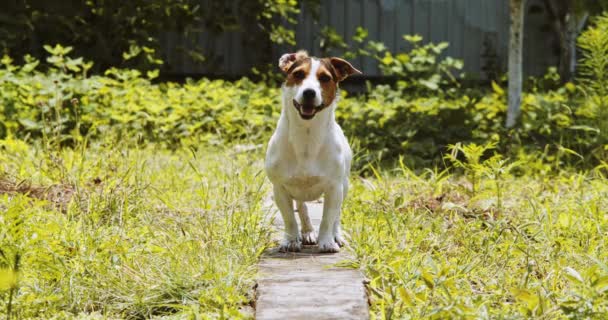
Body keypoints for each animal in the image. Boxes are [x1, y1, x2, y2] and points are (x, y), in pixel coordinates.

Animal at [262, 50, 358, 252]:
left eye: (325, 78)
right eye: (298, 74)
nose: (309, 92)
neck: (307, 135)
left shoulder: (334, 188)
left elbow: (328, 218)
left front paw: (327, 241)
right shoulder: (279, 188)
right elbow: (289, 218)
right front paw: (291, 240)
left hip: (344, 185)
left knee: (336, 216)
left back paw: (336, 235)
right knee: (302, 207)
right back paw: (306, 232)